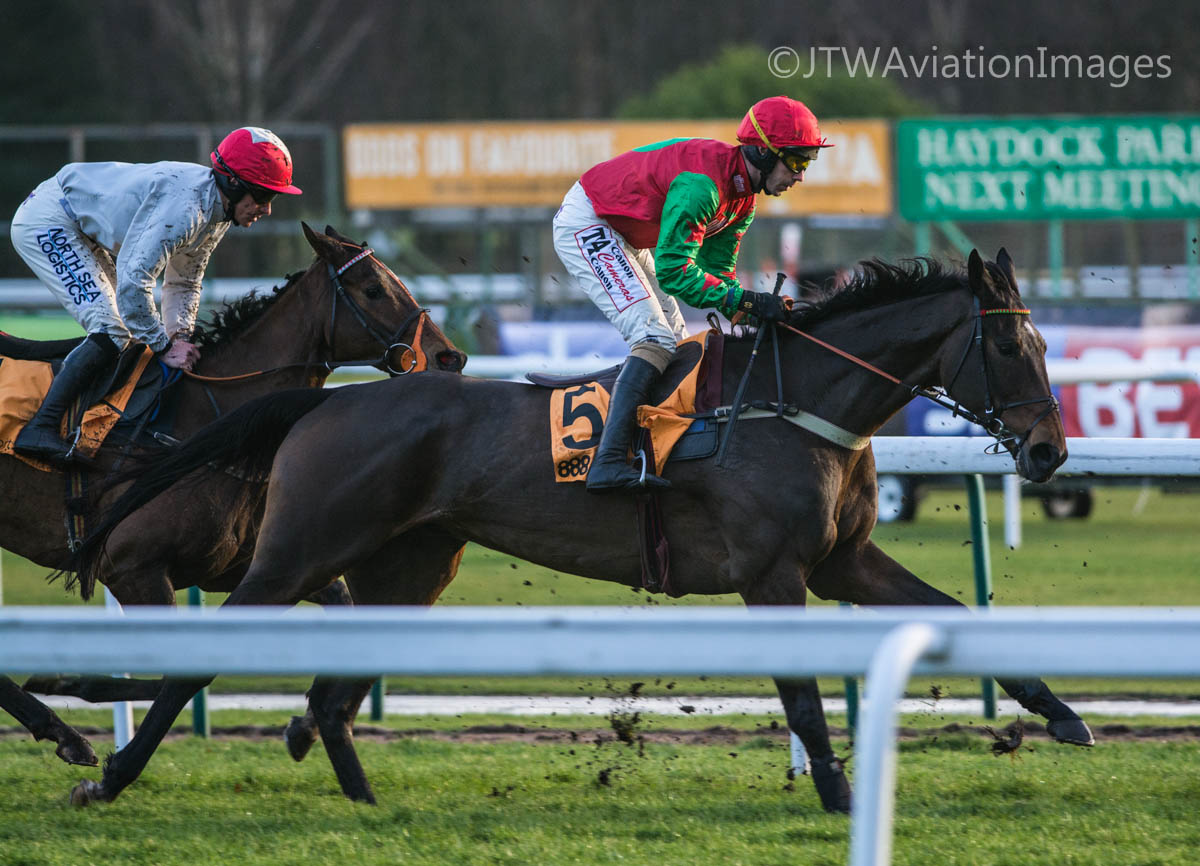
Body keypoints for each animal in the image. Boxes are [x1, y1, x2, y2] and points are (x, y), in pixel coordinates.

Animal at [0, 220, 463, 762]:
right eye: (373, 288)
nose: (450, 356)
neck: (201, 421)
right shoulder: (132, 569)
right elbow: (177, 670)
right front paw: (65, 680)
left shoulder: (238, 566)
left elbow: (340, 605)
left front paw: (306, 725)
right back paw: (62, 729)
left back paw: (61, 730)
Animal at [72, 248, 1089, 810]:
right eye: (1009, 344)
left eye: (1046, 344)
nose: (1047, 451)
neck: (792, 402)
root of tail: (324, 401)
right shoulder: (771, 573)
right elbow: (801, 697)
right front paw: (839, 795)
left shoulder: (842, 561)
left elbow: (955, 615)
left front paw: (1063, 715)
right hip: (296, 551)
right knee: (198, 668)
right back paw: (107, 777)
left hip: (411, 566)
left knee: (329, 699)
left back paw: (364, 805)